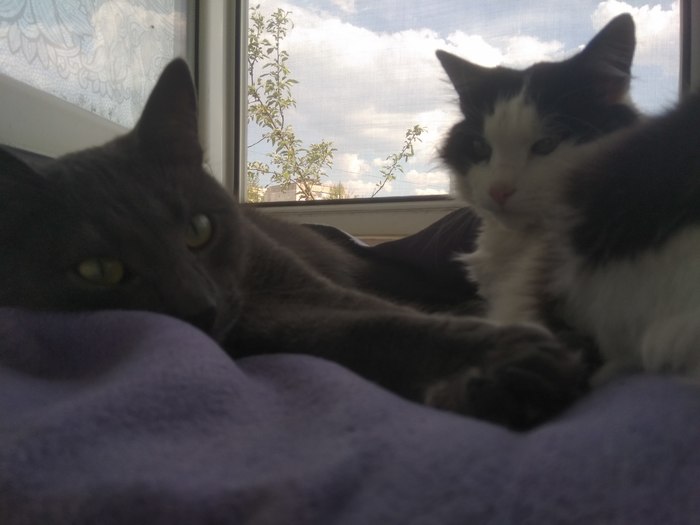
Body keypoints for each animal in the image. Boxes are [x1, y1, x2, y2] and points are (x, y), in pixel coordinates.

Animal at [0, 58, 585, 429]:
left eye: (198, 229)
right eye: (98, 271)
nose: (199, 307)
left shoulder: (297, 285)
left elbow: (386, 317)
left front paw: (509, 366)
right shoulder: (274, 327)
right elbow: (371, 329)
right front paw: (502, 373)